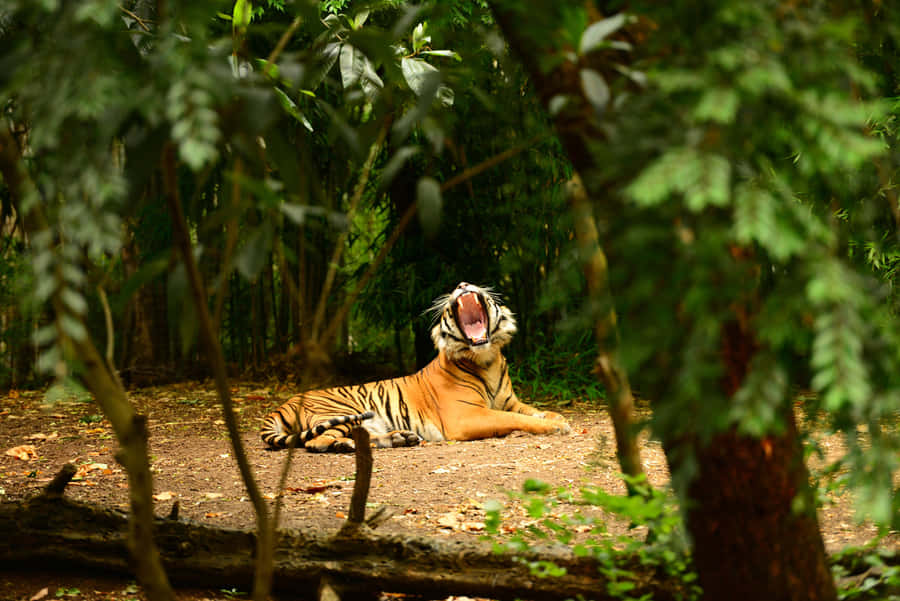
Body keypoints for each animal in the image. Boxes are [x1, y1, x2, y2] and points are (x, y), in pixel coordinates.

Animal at [260, 282, 571, 452]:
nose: (462, 284)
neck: (487, 360)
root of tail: (283, 404)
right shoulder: (467, 416)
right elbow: (513, 419)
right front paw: (555, 427)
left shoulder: (510, 401)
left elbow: (533, 410)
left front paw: (557, 418)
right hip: (341, 412)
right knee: (316, 441)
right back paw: (346, 445)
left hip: (364, 420)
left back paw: (400, 438)